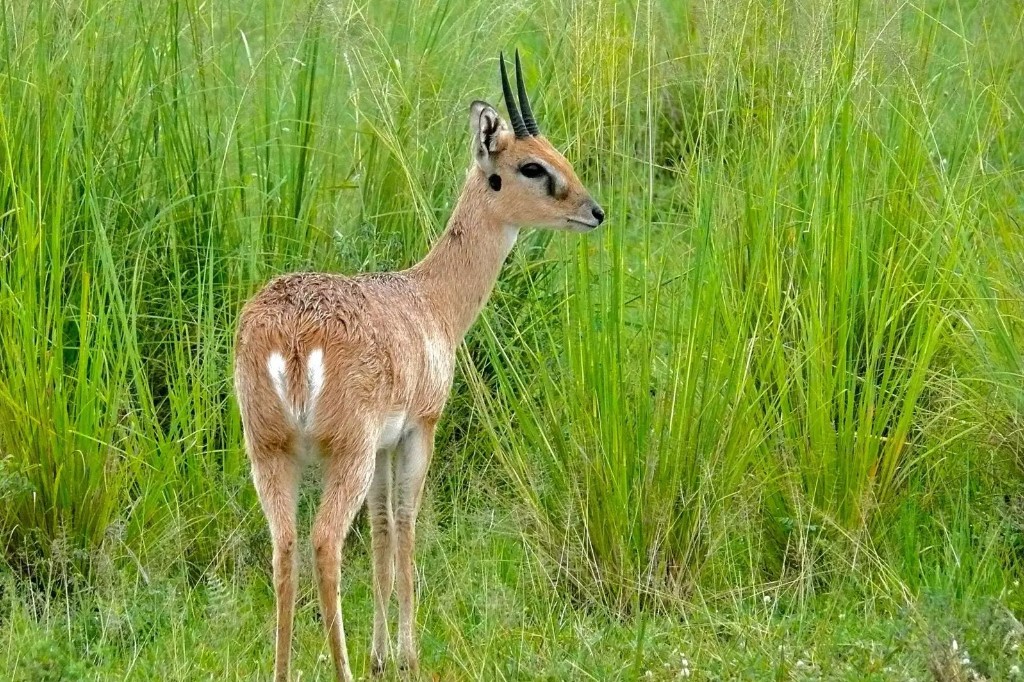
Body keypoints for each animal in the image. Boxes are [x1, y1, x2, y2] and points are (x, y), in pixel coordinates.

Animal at [234, 51, 604, 681]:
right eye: (532, 166)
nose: (594, 211)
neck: (429, 301)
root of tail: (292, 334)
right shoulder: (418, 431)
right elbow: (407, 530)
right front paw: (407, 654)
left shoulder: (385, 446)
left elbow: (383, 537)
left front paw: (381, 654)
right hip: (344, 455)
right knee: (325, 543)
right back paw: (343, 668)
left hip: (272, 454)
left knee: (285, 547)